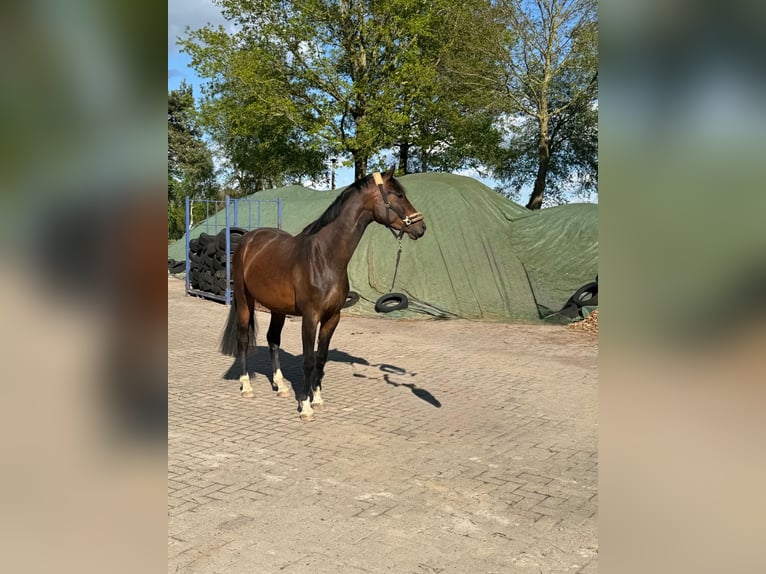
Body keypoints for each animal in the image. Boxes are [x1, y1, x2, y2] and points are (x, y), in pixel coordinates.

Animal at [219, 167, 426, 421]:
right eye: (398, 195)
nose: (421, 227)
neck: (324, 257)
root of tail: (247, 240)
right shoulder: (310, 317)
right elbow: (308, 360)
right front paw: (305, 406)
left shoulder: (332, 318)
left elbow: (321, 357)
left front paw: (317, 399)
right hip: (244, 301)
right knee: (243, 339)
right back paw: (246, 386)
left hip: (277, 309)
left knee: (273, 339)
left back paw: (281, 386)